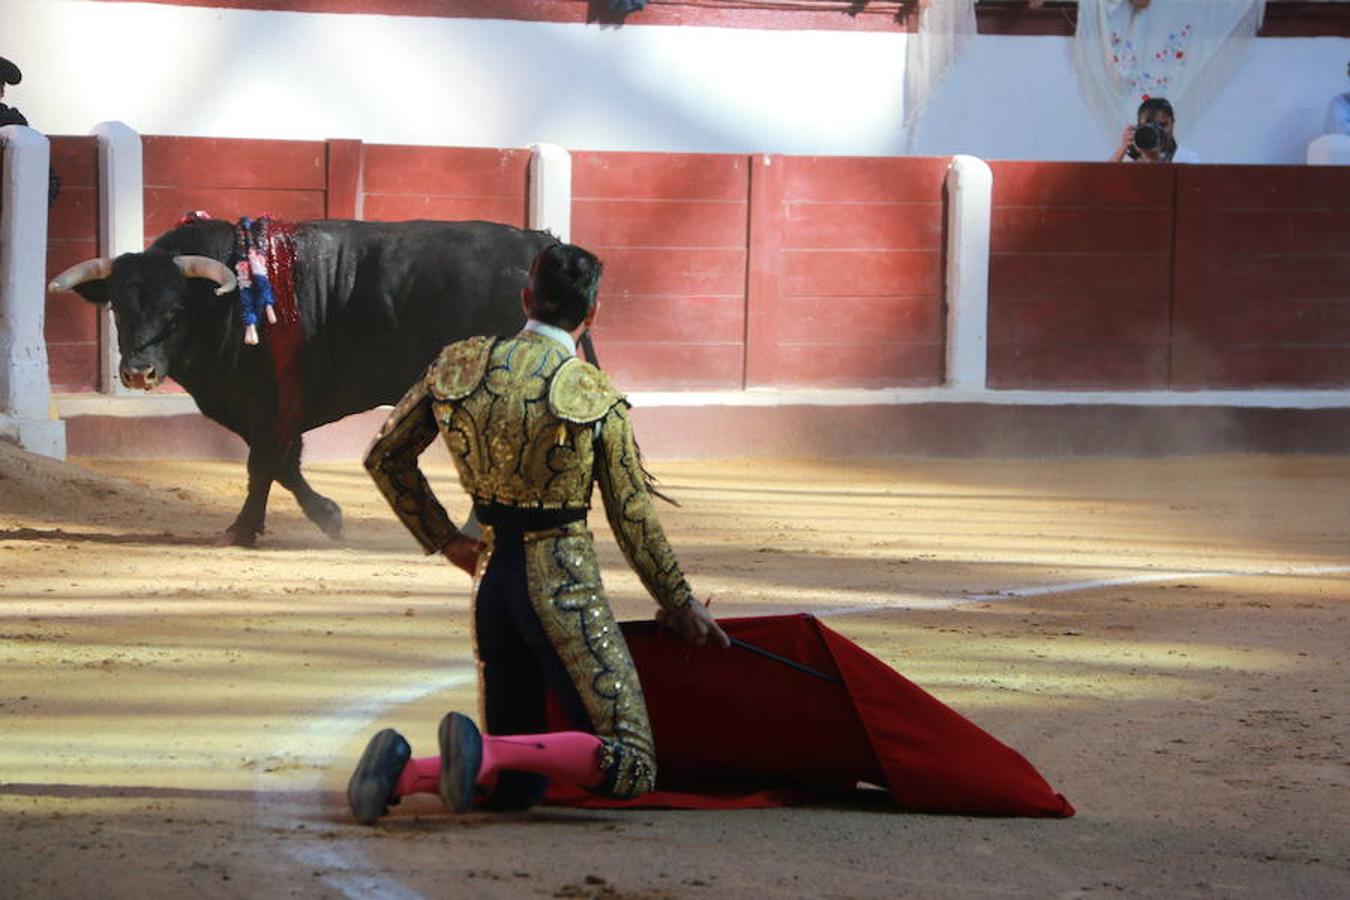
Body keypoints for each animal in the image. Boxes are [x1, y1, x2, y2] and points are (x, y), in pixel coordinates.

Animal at [49, 221, 561, 545]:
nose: (138, 372)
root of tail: (535, 245)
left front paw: (241, 530)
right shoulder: (266, 411)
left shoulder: (270, 404)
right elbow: (285, 466)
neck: (229, 302)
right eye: (117, 308)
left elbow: (263, 464)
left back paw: (477, 531)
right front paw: (329, 517)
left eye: (176, 310)